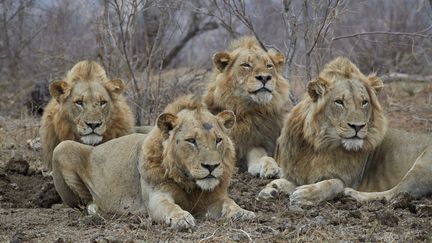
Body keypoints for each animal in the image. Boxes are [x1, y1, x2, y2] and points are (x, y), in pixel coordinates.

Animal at [52, 95, 255, 230]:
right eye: (191, 141)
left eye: (218, 140)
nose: (211, 167)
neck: (189, 182)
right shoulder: (156, 196)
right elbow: (169, 206)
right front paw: (181, 218)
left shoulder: (213, 198)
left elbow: (230, 203)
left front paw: (243, 212)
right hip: (62, 147)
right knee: (82, 203)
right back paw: (96, 209)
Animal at [203, 35, 290, 178]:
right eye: (246, 65)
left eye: (269, 66)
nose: (264, 78)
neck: (247, 110)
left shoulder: (254, 144)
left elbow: (264, 157)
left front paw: (272, 168)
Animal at [256, 57, 432, 205]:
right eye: (339, 102)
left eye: (364, 102)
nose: (358, 126)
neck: (319, 145)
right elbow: (285, 181)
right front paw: (272, 188)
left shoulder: (349, 179)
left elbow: (333, 183)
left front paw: (306, 194)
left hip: (422, 166)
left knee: (395, 193)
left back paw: (352, 195)